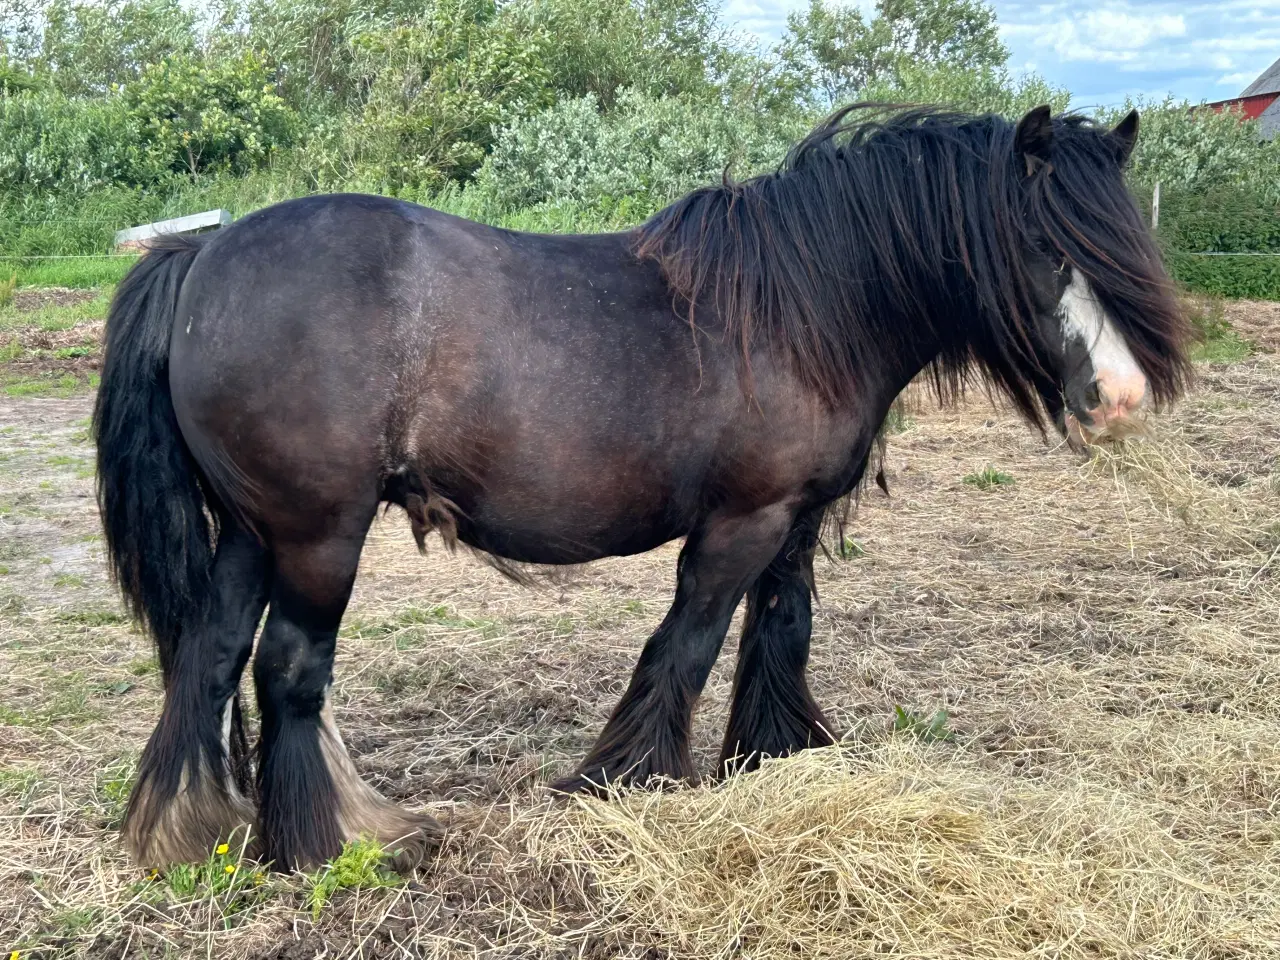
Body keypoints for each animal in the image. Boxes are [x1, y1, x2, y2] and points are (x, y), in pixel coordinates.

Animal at [92, 103, 1187, 870]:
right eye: (1044, 245)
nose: (1121, 398)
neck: (805, 309)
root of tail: (202, 252)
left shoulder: (793, 523)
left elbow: (779, 634)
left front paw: (771, 759)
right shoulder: (740, 525)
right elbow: (686, 647)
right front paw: (627, 782)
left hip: (252, 530)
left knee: (211, 655)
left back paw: (195, 830)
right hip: (319, 532)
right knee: (289, 667)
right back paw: (335, 843)